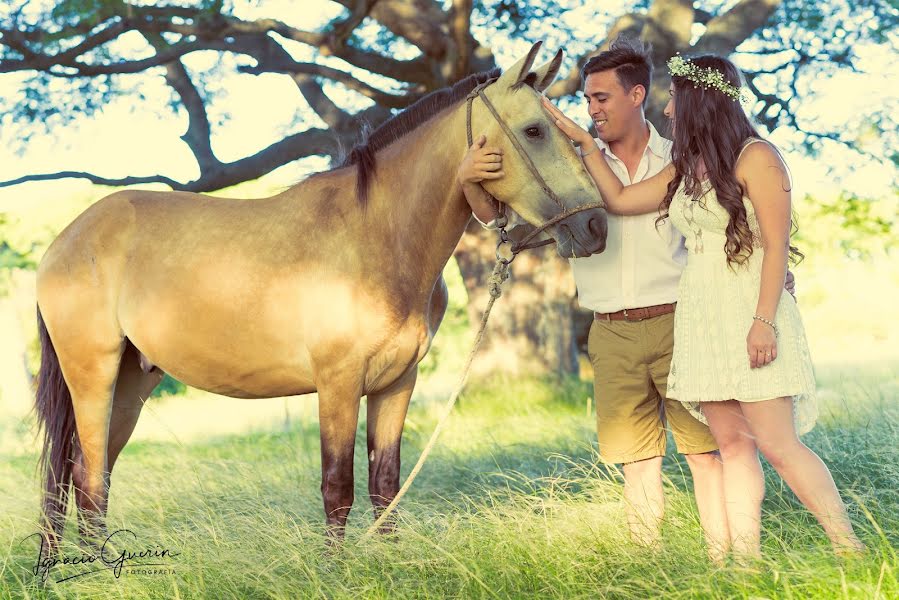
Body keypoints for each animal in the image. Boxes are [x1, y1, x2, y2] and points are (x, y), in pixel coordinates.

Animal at [37, 42, 612, 548]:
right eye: (534, 130)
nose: (595, 227)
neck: (375, 235)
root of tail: (64, 241)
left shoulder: (396, 383)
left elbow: (386, 485)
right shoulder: (338, 384)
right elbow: (338, 488)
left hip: (131, 383)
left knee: (89, 478)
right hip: (94, 377)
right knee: (87, 480)